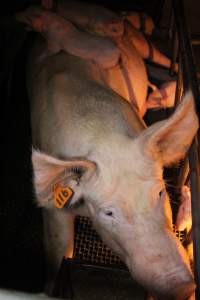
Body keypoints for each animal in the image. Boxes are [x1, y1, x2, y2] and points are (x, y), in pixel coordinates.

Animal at [27, 37, 198, 298]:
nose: (181, 288)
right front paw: (49, 290)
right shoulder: (54, 209)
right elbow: (58, 250)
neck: (102, 135)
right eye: (109, 213)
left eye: (160, 192)